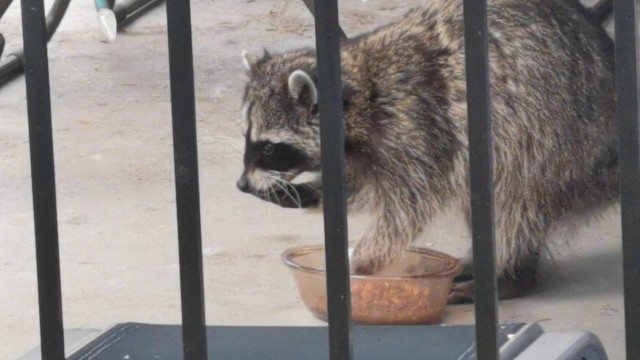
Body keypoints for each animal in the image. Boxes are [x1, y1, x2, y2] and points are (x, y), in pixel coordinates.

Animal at [238, 0, 616, 304]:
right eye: (247, 137)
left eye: (269, 148)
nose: (241, 185)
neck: (360, 91)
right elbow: (356, 185)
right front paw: (307, 191)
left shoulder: (418, 128)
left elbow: (406, 209)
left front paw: (360, 262)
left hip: (551, 139)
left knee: (514, 202)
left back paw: (507, 277)